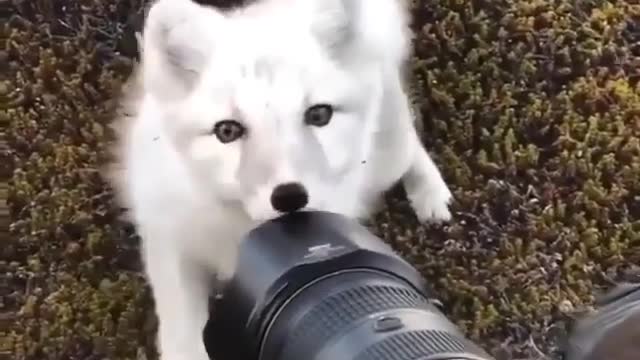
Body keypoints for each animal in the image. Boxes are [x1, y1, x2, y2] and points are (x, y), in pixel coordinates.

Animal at [105, 0, 452, 358]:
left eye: (319, 114)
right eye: (226, 131)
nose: (290, 197)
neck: (241, 228)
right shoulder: (170, 239)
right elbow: (183, 332)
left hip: (388, 158)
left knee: (412, 142)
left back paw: (430, 193)